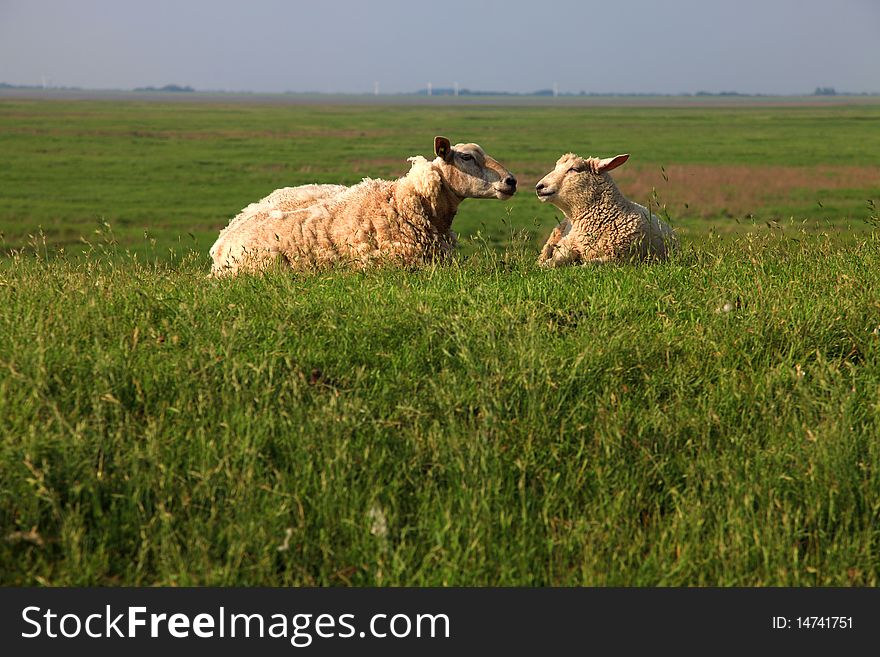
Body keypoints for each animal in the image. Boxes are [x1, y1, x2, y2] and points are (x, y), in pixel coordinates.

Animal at [532, 152, 676, 266]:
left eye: (574, 169)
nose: (539, 186)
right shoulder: (567, 244)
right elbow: (555, 260)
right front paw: (546, 265)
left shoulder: (619, 257)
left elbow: (590, 264)